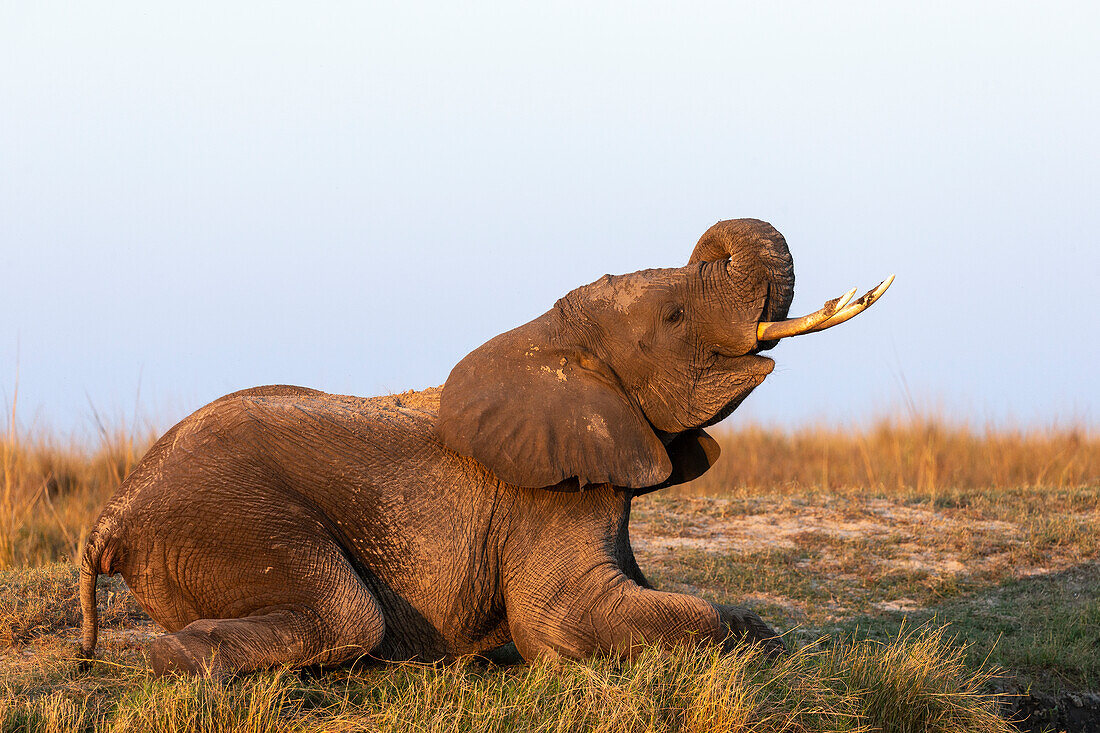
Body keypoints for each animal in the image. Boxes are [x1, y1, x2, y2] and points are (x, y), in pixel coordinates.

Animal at [77, 217, 888, 673]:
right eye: (674, 317)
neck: (551, 336)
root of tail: (112, 513)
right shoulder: (548, 498)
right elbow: (564, 620)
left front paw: (766, 642)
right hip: (224, 517)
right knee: (346, 613)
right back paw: (175, 659)